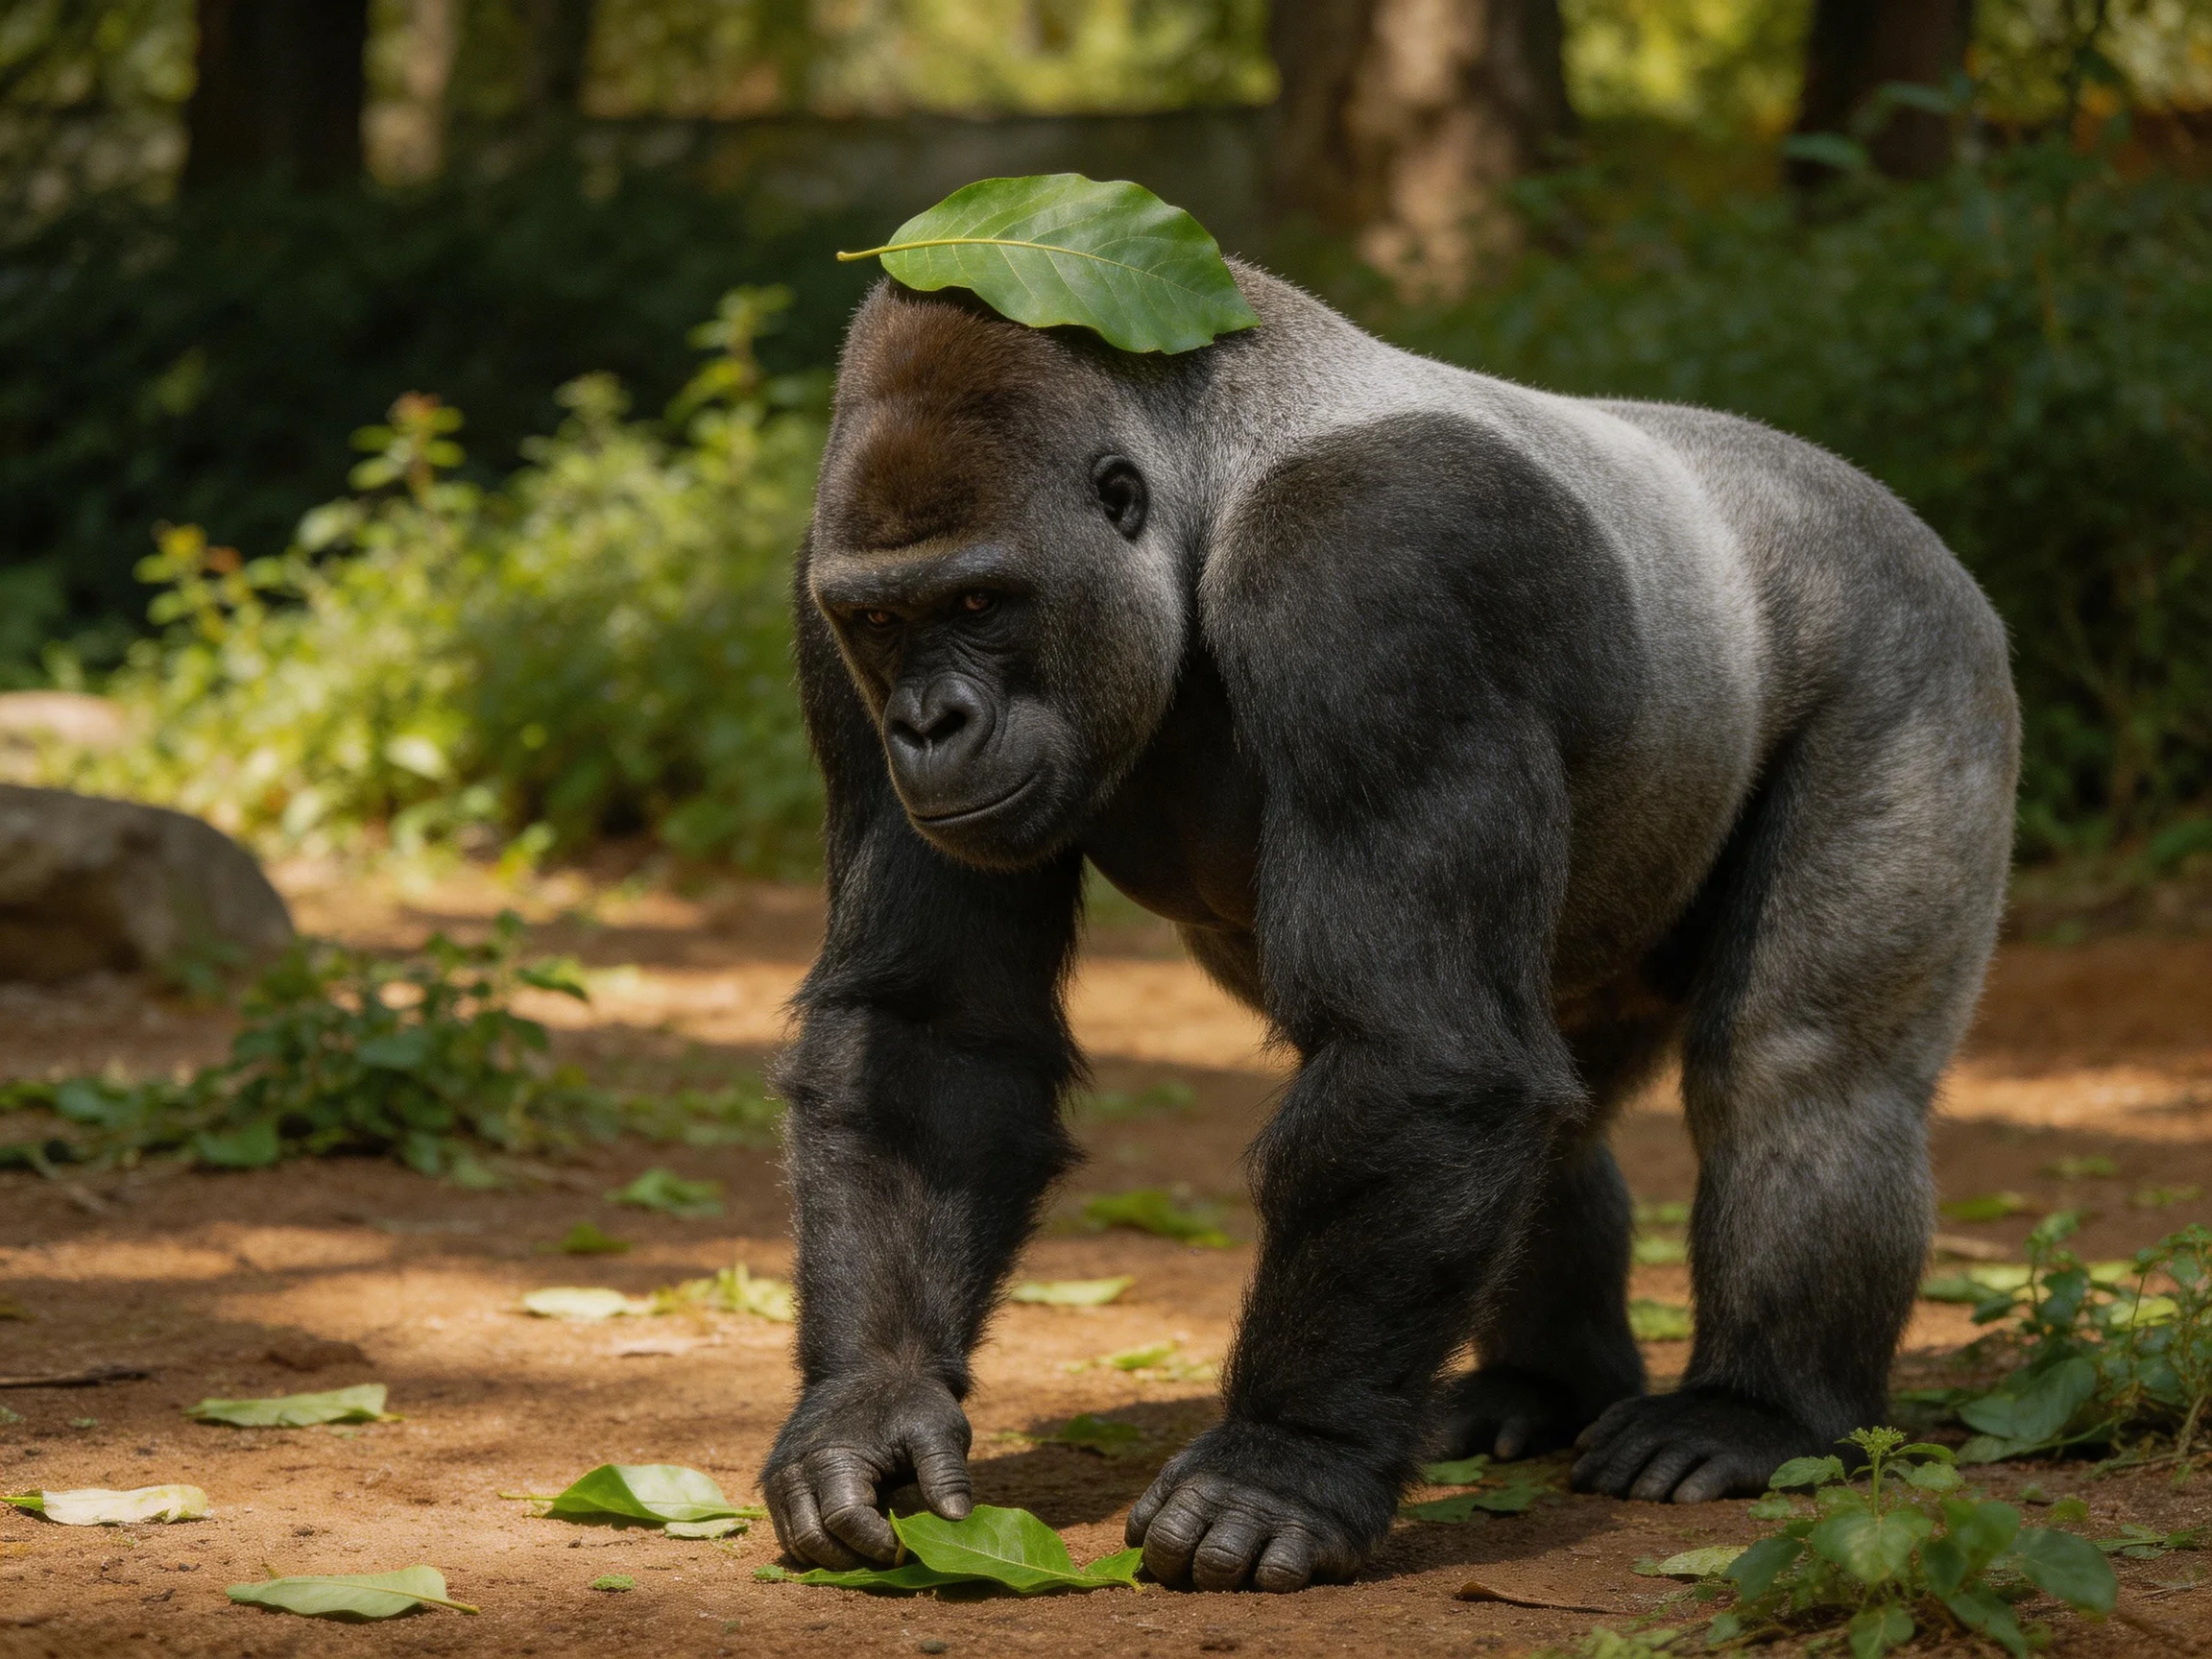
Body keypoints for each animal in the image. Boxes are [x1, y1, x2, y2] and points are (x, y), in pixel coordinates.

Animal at [759, 263, 2019, 1593]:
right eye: (883, 624)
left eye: (980, 600)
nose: (926, 725)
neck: (1207, 474)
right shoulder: (822, 612)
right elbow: (936, 1029)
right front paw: (873, 1404)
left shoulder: (1371, 569)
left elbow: (1416, 1057)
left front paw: (1283, 1461)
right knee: (1558, 1103)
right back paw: (1542, 1383)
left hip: (1913, 643)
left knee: (1803, 1070)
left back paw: (1758, 1410)